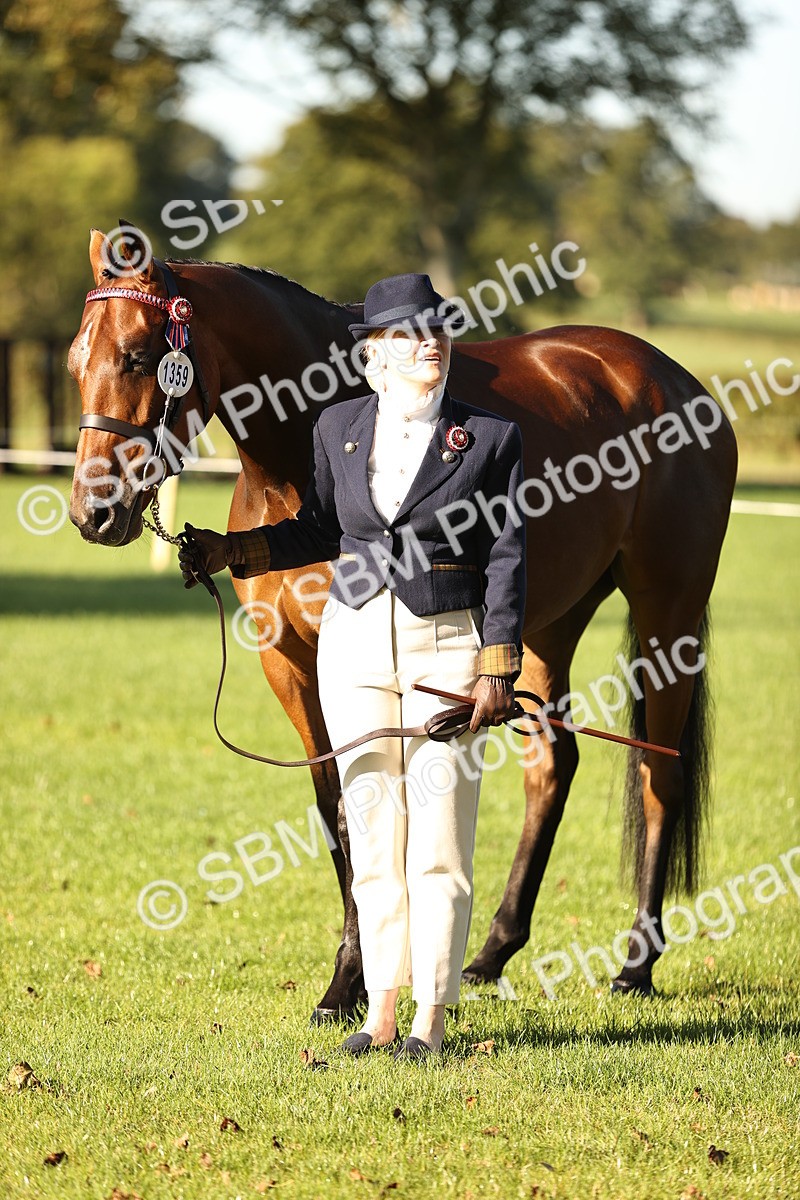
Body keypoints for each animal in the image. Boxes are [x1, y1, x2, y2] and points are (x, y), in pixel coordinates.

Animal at [68, 227, 738, 1021]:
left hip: (669, 611)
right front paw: (349, 984)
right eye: (77, 359)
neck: (300, 454)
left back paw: (635, 965)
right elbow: (338, 808)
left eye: (139, 355)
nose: (91, 512)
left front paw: (361, 980)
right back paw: (491, 954)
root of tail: (676, 382)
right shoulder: (289, 663)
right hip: (546, 625)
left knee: (658, 771)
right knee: (552, 766)